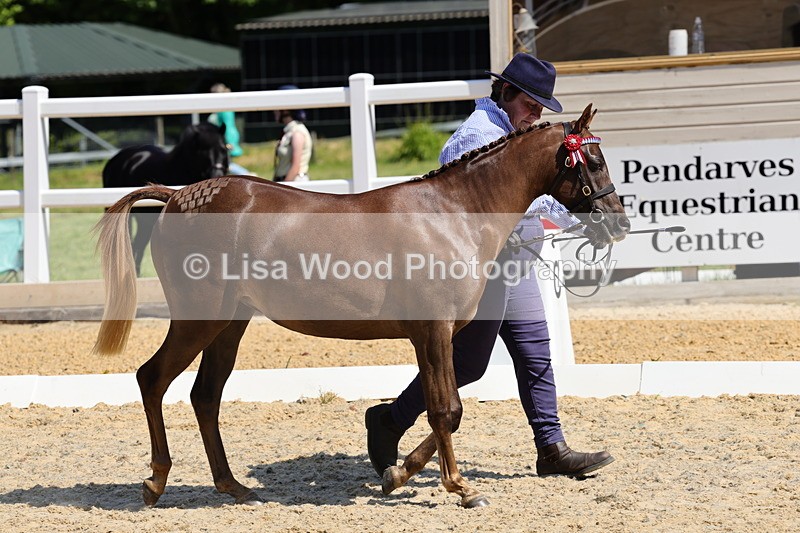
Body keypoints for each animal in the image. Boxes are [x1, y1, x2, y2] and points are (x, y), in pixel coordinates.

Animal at [102, 122, 229, 275]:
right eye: (202, 152)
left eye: (223, 148)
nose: (217, 174)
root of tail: (115, 160)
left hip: (144, 222)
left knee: (138, 245)